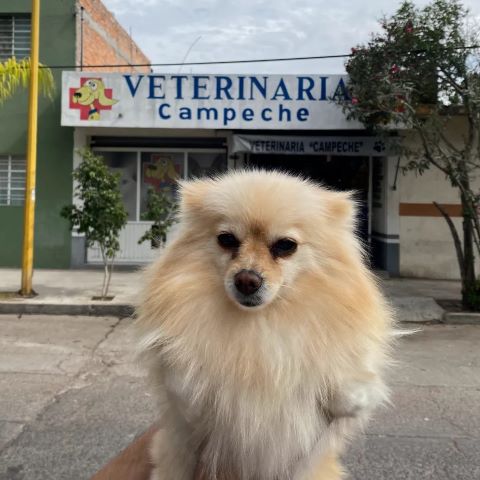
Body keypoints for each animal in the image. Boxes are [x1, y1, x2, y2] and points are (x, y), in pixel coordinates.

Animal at [135, 169, 394, 480]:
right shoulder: (183, 418)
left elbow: (352, 390)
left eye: (285, 245)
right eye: (226, 239)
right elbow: (181, 377)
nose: (247, 280)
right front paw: (192, 372)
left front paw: (345, 389)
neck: (261, 324)